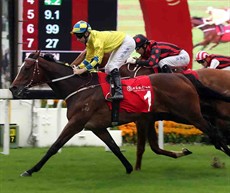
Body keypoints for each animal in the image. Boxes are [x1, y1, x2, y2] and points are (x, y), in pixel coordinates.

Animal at [9, 51, 229, 176]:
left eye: (26, 68)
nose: (12, 88)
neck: (80, 88)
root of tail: (183, 77)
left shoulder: (77, 122)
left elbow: (54, 146)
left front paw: (30, 170)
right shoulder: (97, 127)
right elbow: (114, 147)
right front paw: (130, 168)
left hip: (190, 114)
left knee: (213, 131)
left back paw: (224, 152)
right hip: (176, 114)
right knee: (213, 130)